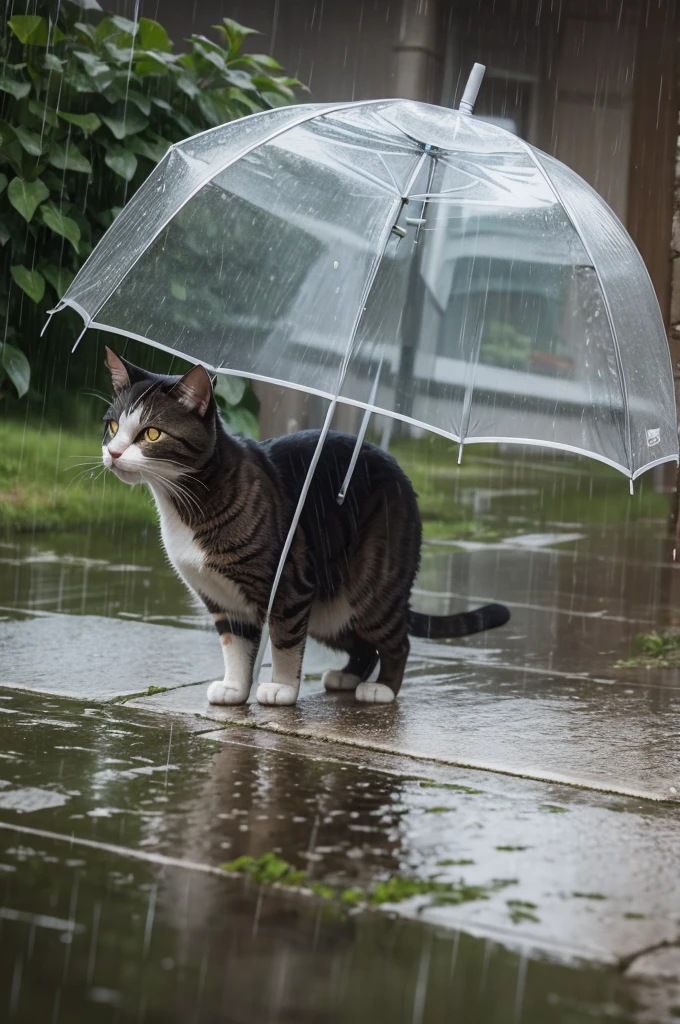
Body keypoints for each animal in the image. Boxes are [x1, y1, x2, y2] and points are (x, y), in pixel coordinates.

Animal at [102, 348, 510, 708]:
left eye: (151, 434)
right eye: (113, 426)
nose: (113, 453)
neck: (184, 505)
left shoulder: (290, 585)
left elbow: (283, 640)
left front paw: (281, 689)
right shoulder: (221, 599)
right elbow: (235, 645)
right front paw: (235, 689)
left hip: (372, 586)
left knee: (395, 640)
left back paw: (382, 689)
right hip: (331, 612)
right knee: (362, 645)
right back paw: (347, 676)